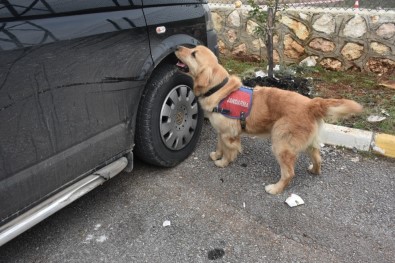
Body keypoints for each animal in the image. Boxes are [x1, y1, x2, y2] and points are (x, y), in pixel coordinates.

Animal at [175, 45, 364, 195]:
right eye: (192, 49)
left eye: (193, 54)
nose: (177, 47)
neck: (219, 90)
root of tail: (311, 103)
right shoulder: (222, 132)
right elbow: (219, 145)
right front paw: (217, 155)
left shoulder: (230, 134)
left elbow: (229, 151)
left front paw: (223, 162)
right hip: (309, 143)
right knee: (318, 158)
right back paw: (314, 171)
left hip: (280, 143)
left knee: (289, 173)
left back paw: (275, 189)